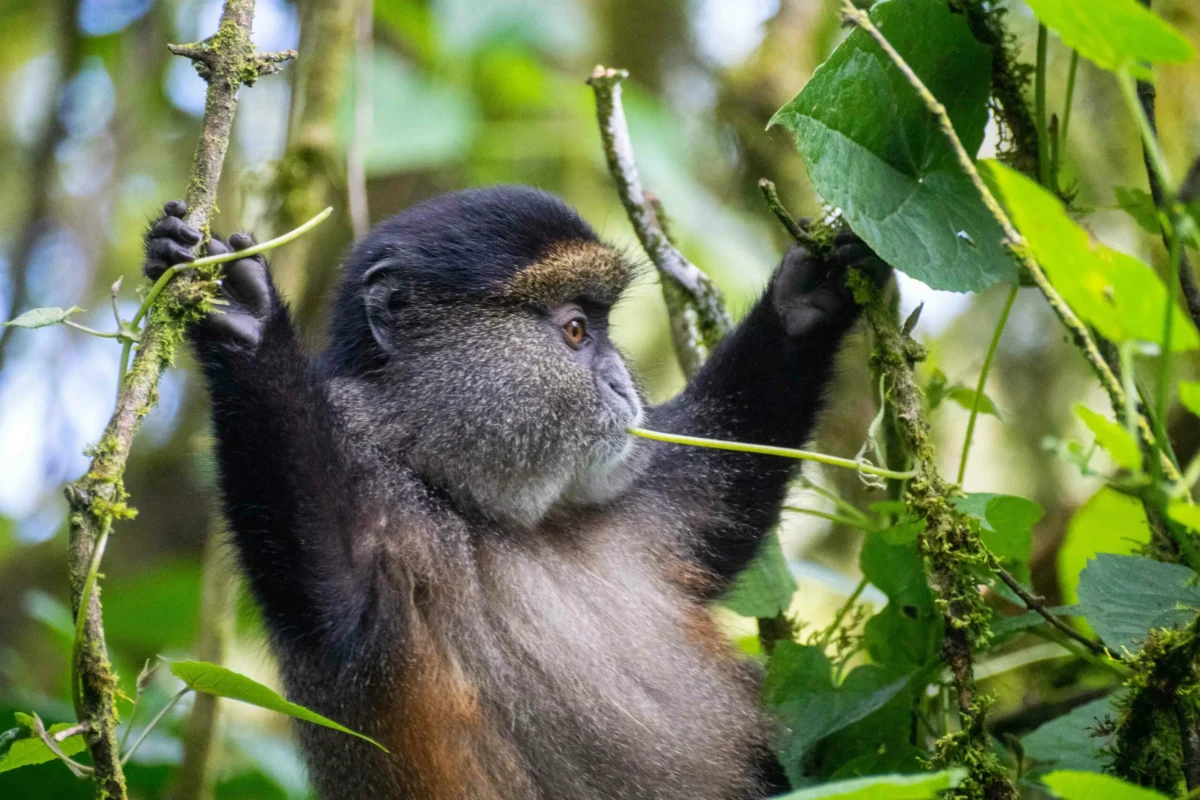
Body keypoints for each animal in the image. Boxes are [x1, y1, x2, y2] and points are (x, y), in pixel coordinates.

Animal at [143, 186, 885, 800]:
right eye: (575, 330)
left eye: (601, 326)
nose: (622, 384)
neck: (466, 495)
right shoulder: (373, 495)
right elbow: (327, 588)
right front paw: (242, 317)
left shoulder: (635, 507)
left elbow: (720, 504)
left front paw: (808, 295)